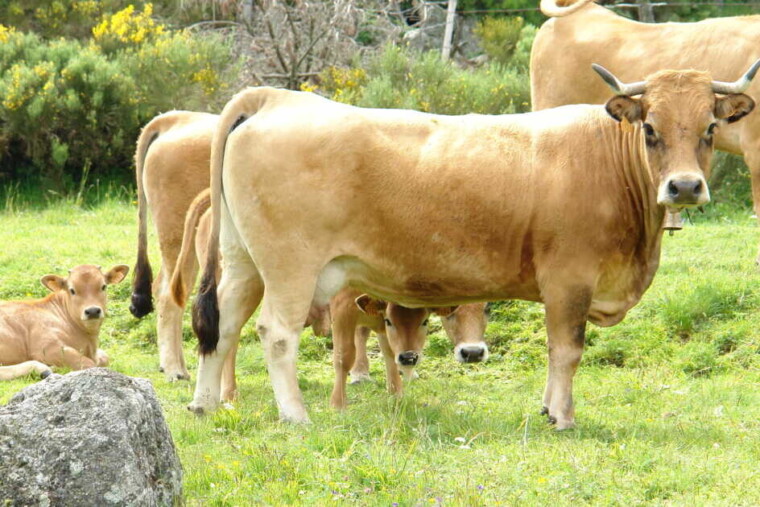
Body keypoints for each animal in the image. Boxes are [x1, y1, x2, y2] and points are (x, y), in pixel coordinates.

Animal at [0, 264, 129, 380]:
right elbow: (89, 364)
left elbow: (105, 358)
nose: (92, 311)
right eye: (72, 290)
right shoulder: (46, 347)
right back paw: (43, 369)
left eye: (103, 286)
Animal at [169, 189, 489, 403]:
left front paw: (396, 392)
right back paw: (228, 393)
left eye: (485, 309)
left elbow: (387, 352)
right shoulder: (344, 310)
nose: (473, 352)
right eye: (452, 313)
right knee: (229, 336)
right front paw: (340, 402)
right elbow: (343, 356)